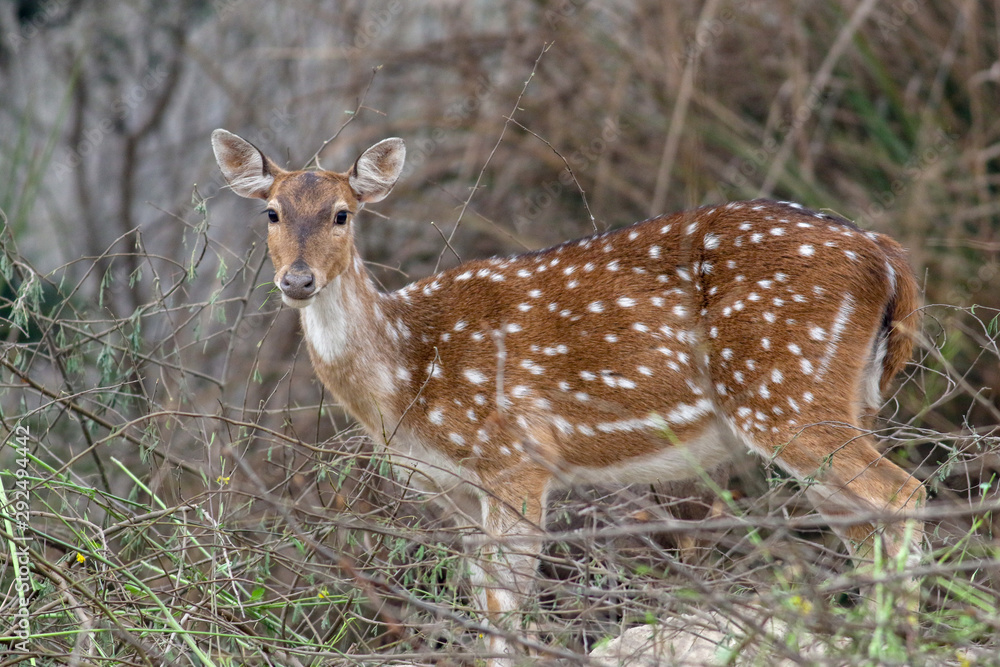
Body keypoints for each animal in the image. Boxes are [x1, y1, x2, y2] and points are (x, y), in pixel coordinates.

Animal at [213, 129, 928, 664]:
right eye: (271, 212)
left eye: (342, 214)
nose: (297, 279)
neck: (408, 377)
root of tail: (887, 255)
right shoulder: (454, 489)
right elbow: (485, 600)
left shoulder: (516, 457)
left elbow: (506, 604)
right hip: (839, 399)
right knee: (864, 524)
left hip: (783, 388)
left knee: (903, 494)